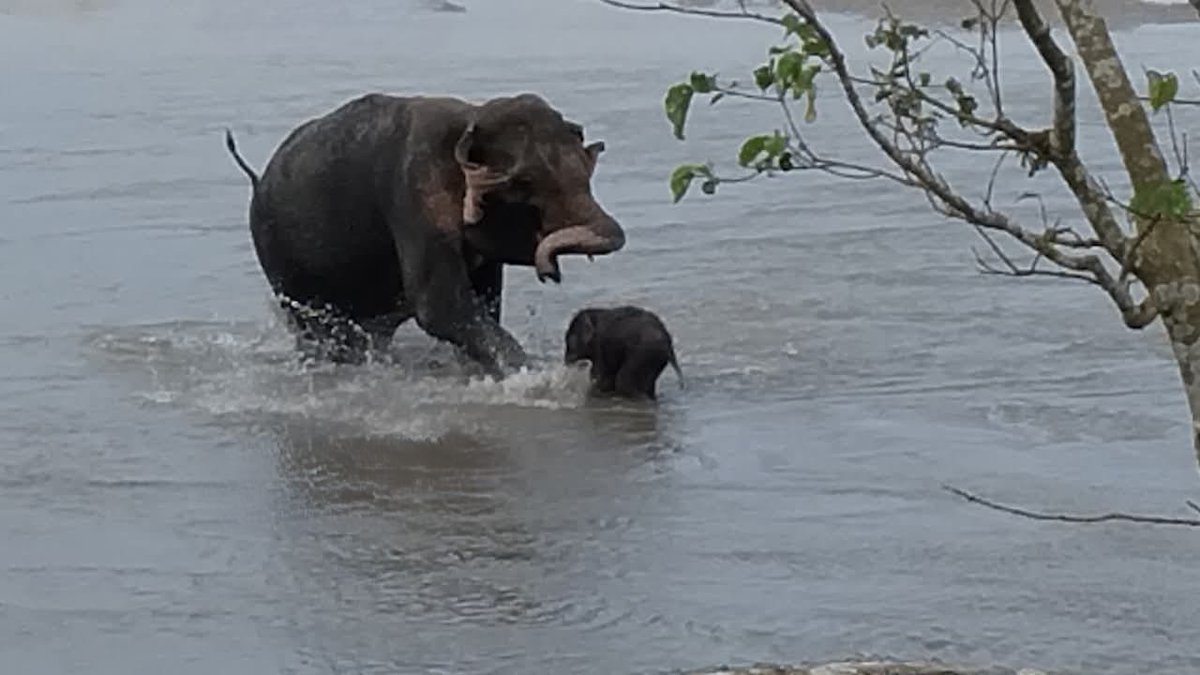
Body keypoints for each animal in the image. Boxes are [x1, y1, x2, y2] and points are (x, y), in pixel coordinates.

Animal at [223, 92, 626, 377]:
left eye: (586, 170)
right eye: (525, 182)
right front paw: (533, 376)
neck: (471, 115)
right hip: (280, 261)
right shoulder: (411, 194)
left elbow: (484, 300)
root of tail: (257, 179)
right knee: (321, 332)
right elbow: (440, 306)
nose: (550, 271)